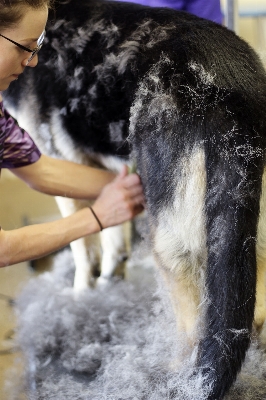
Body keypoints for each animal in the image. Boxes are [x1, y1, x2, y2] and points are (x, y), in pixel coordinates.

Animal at [4, 0, 266, 396]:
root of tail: (235, 86)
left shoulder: (57, 156)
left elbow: (84, 251)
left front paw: (82, 294)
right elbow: (112, 236)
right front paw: (110, 279)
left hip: (173, 240)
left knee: (194, 328)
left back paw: (176, 376)